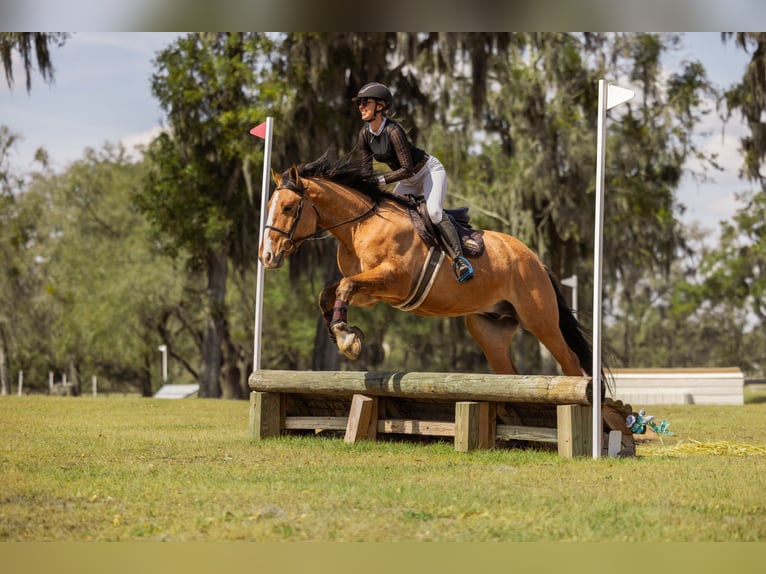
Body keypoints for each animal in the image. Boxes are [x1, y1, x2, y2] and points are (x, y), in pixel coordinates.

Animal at [258, 152, 596, 380]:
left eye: (288, 207)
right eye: (269, 206)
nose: (267, 256)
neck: (360, 225)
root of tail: (535, 259)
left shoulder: (394, 280)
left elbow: (344, 286)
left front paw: (346, 338)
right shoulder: (369, 291)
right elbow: (331, 292)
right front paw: (342, 332)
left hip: (540, 320)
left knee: (572, 363)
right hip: (490, 329)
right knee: (509, 372)